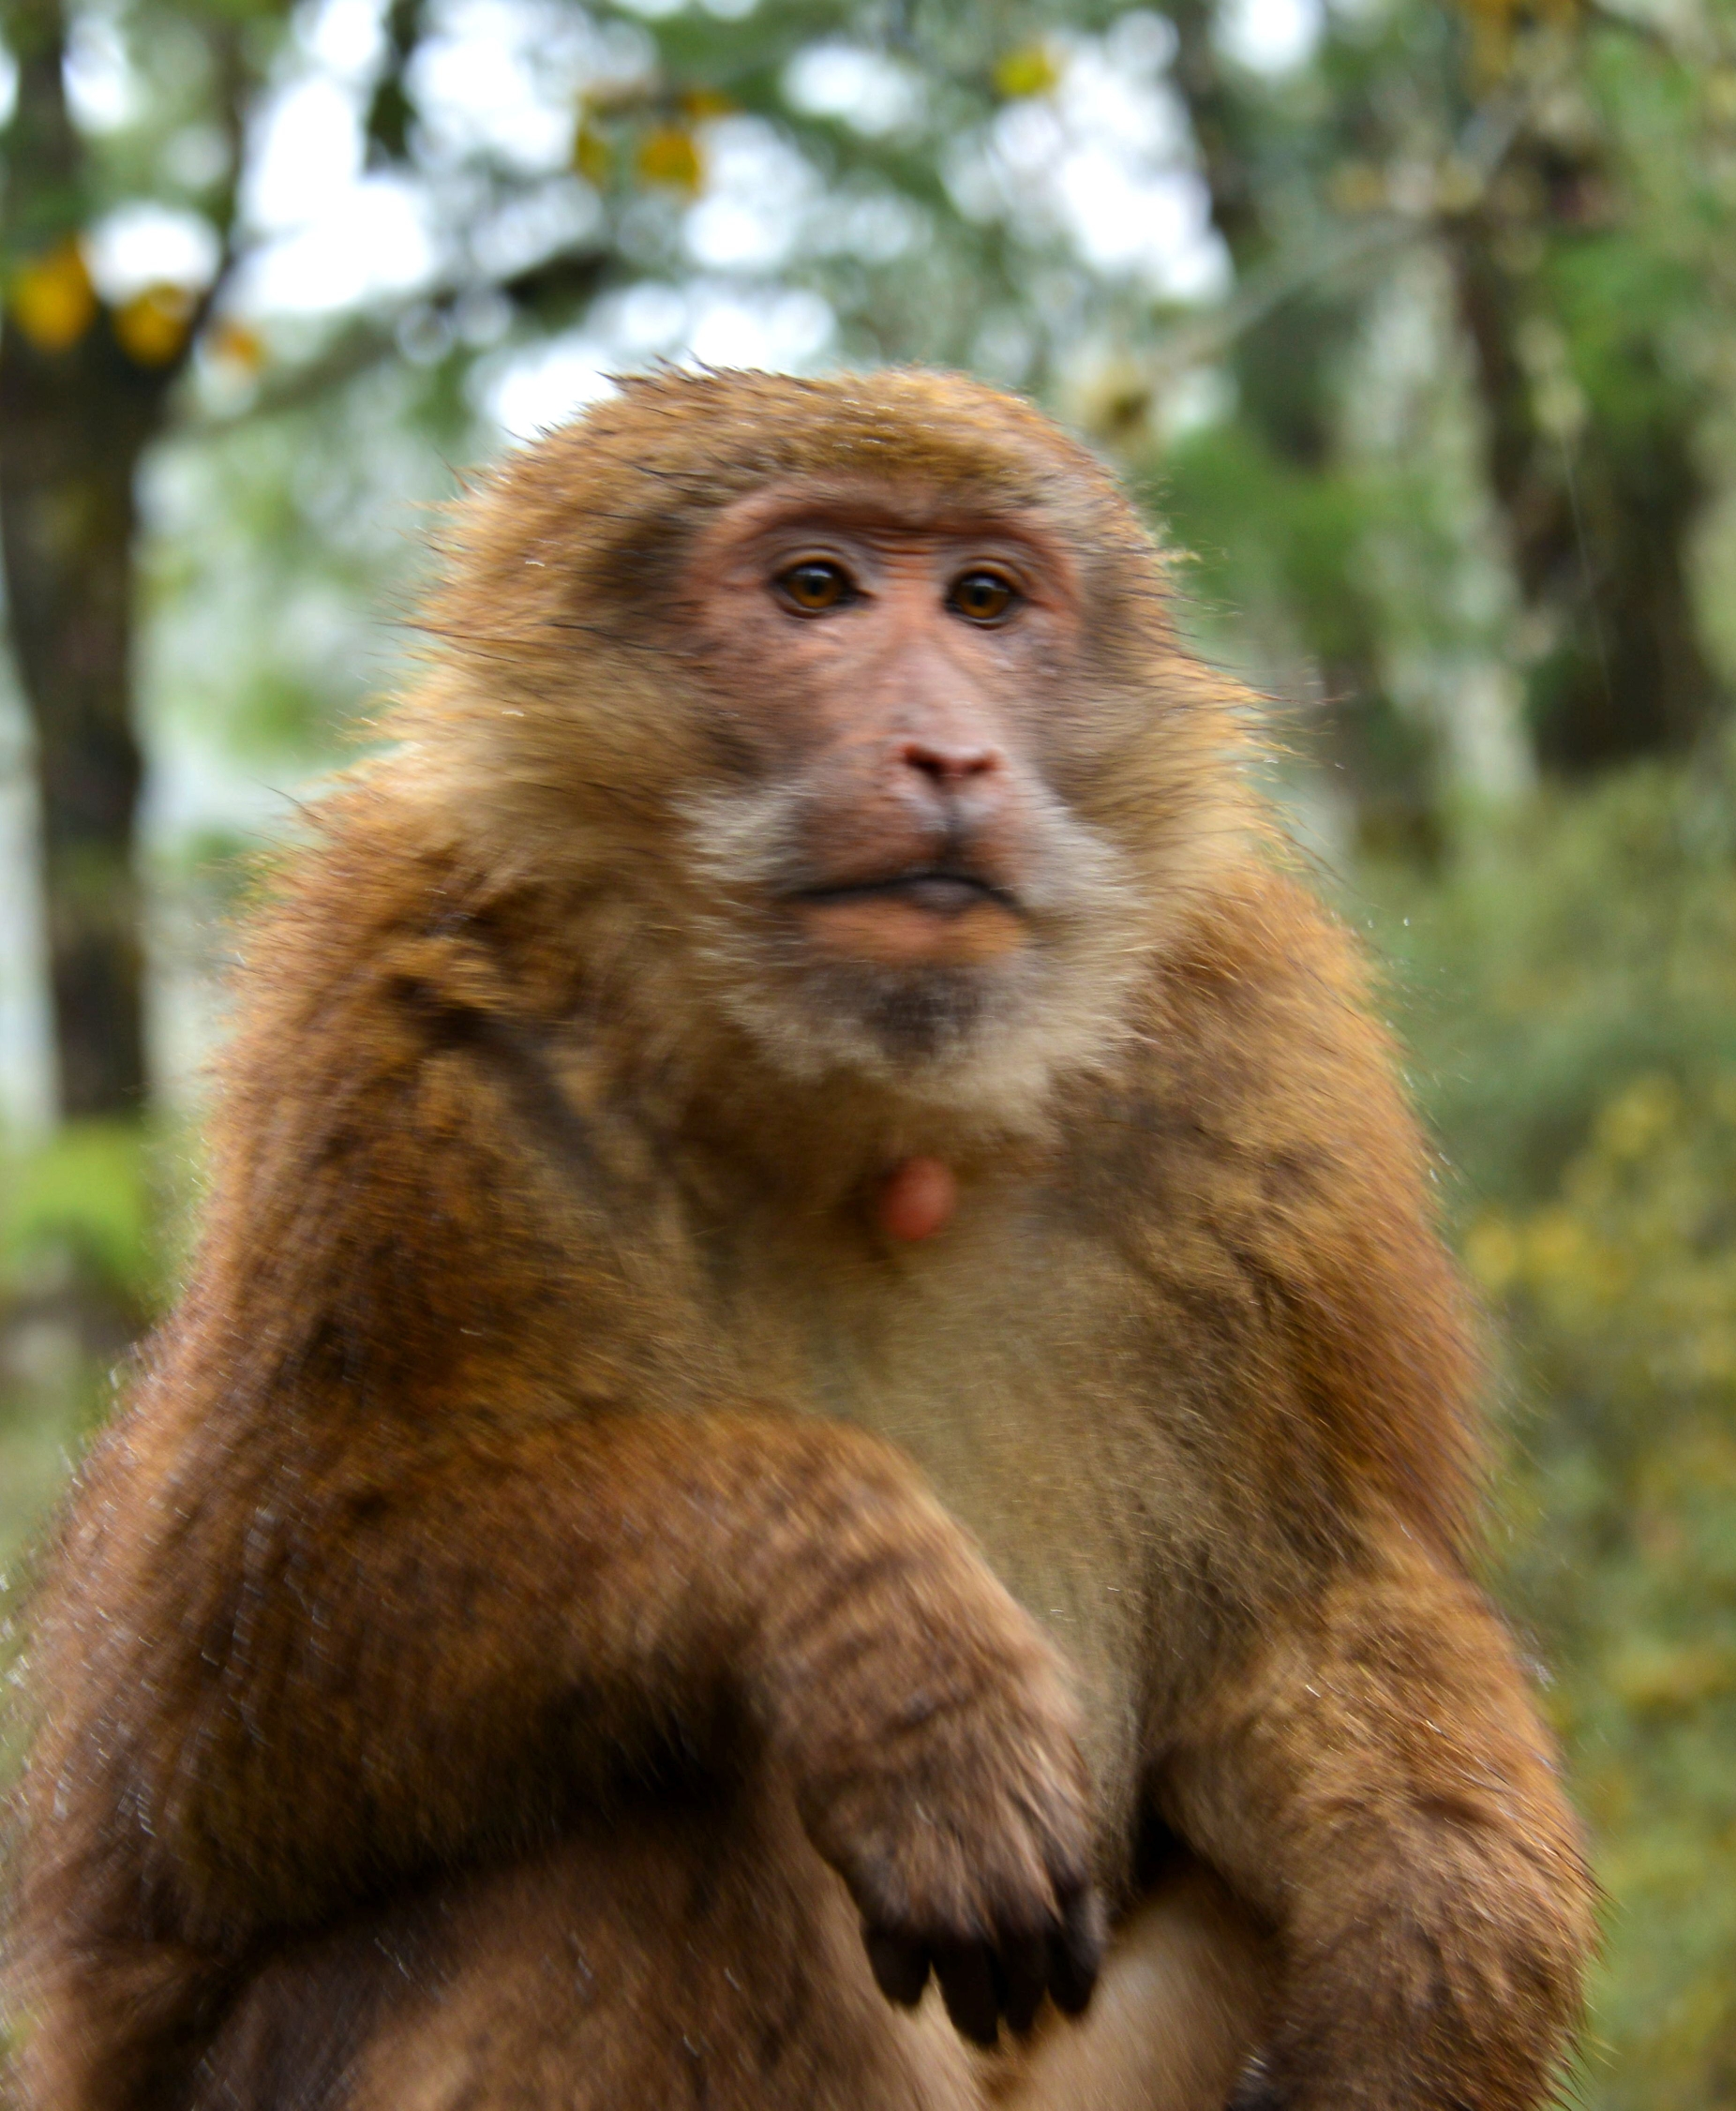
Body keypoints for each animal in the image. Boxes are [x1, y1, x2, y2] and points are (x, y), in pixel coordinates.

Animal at [3, 371, 1605, 2111]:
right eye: (816, 589)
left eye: (985, 599)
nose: (949, 751)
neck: (860, 1118)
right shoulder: (394, 1047)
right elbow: (210, 1740)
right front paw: (887, 1638)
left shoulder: (1251, 1087)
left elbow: (1301, 1616)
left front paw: (1441, 1940)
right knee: (640, 1834)